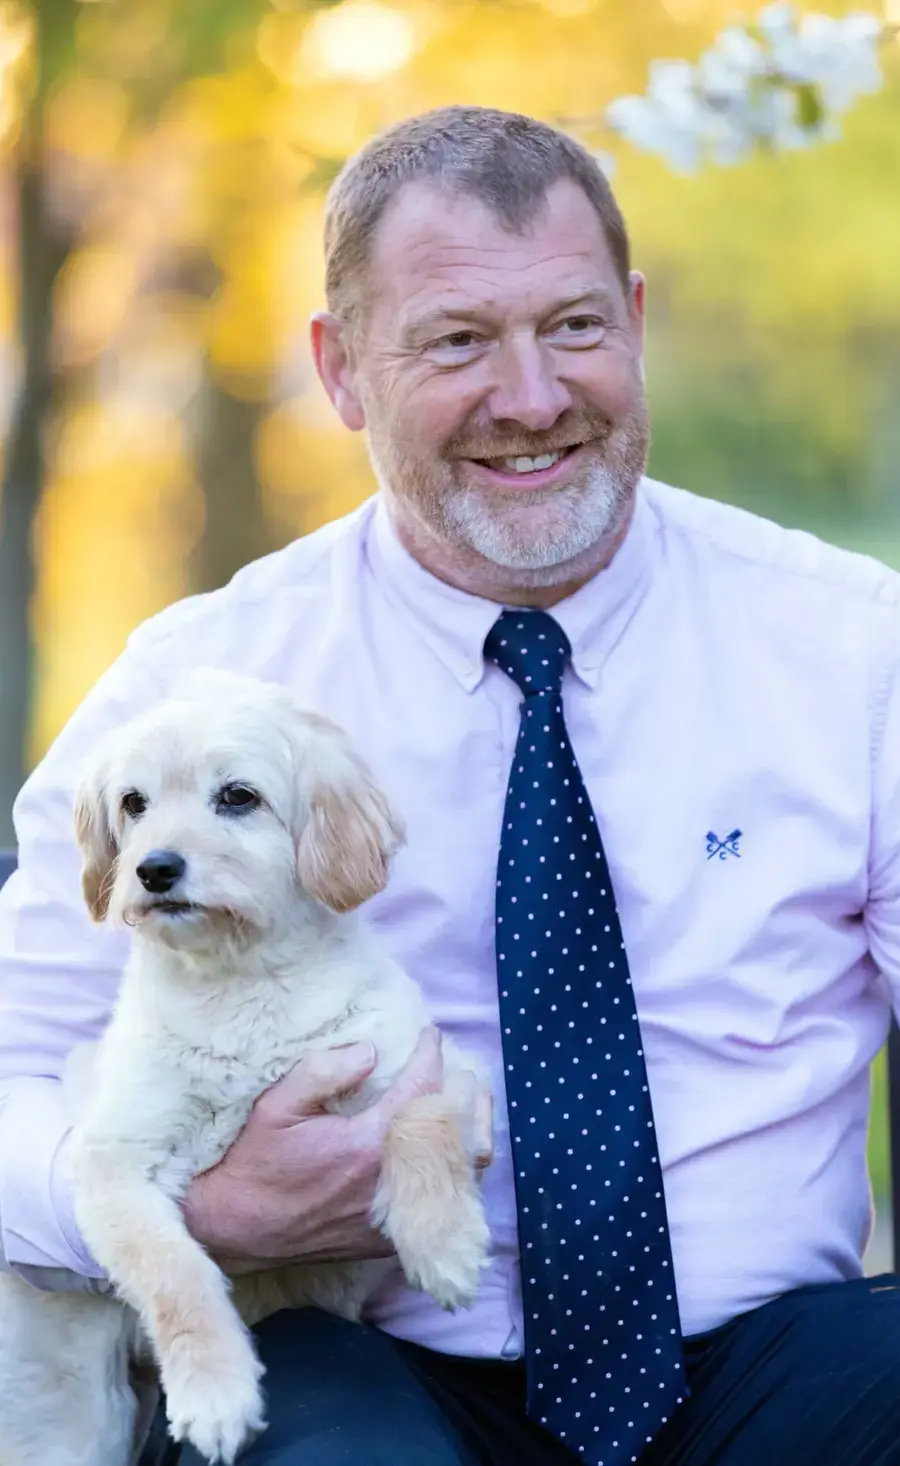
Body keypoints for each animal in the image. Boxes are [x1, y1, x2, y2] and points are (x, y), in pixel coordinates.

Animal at [0, 671, 492, 1466]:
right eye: (133, 803)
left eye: (237, 797)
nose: (155, 869)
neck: (242, 989)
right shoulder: (115, 1167)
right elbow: (176, 1275)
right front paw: (215, 1392)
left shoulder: (443, 1071)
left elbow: (422, 1120)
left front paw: (443, 1241)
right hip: (70, 1421)